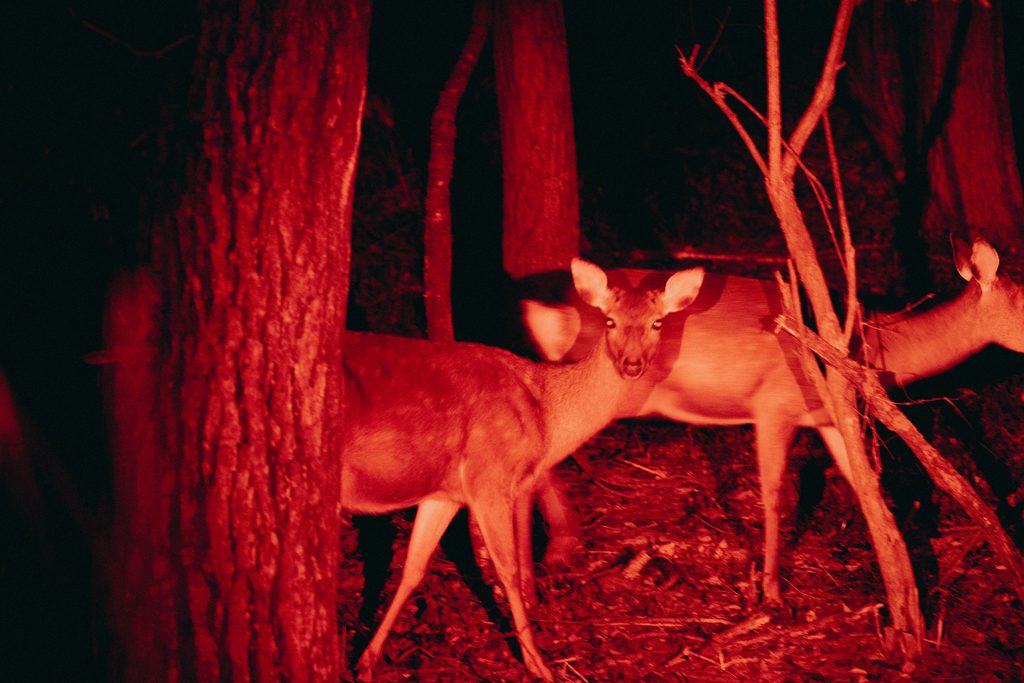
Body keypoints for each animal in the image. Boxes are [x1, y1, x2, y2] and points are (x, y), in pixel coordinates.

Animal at [342, 258, 705, 681]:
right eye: (610, 320)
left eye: (657, 322)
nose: (632, 364)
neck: (543, 410)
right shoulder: (490, 477)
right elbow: (510, 570)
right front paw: (539, 664)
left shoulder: (445, 493)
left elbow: (413, 568)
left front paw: (366, 661)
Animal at [521, 239, 1024, 605]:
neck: (867, 343)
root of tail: (554, 311)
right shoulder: (774, 405)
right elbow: (775, 497)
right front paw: (773, 592)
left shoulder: (827, 416)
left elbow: (866, 486)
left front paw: (904, 576)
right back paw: (559, 549)